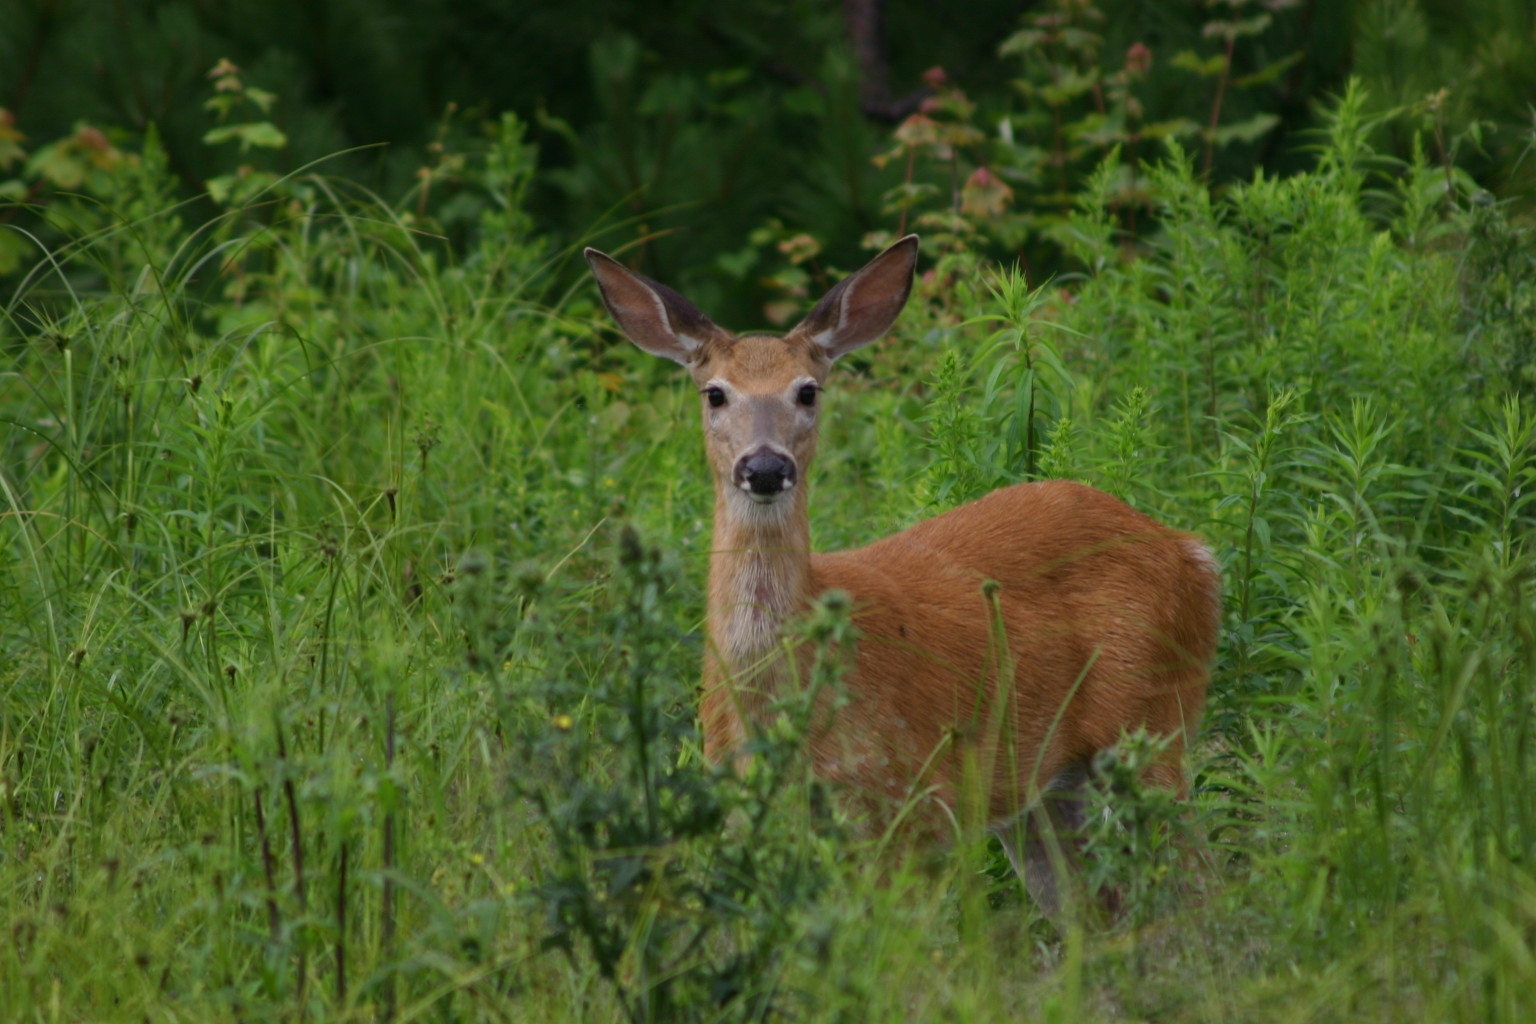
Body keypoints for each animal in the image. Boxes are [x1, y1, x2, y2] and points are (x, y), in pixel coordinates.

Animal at [580, 237, 1216, 914]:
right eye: (715, 393)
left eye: (808, 391)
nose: (766, 467)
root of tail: (1194, 552)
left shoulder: (909, 801)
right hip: (1046, 791)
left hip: (1153, 721)